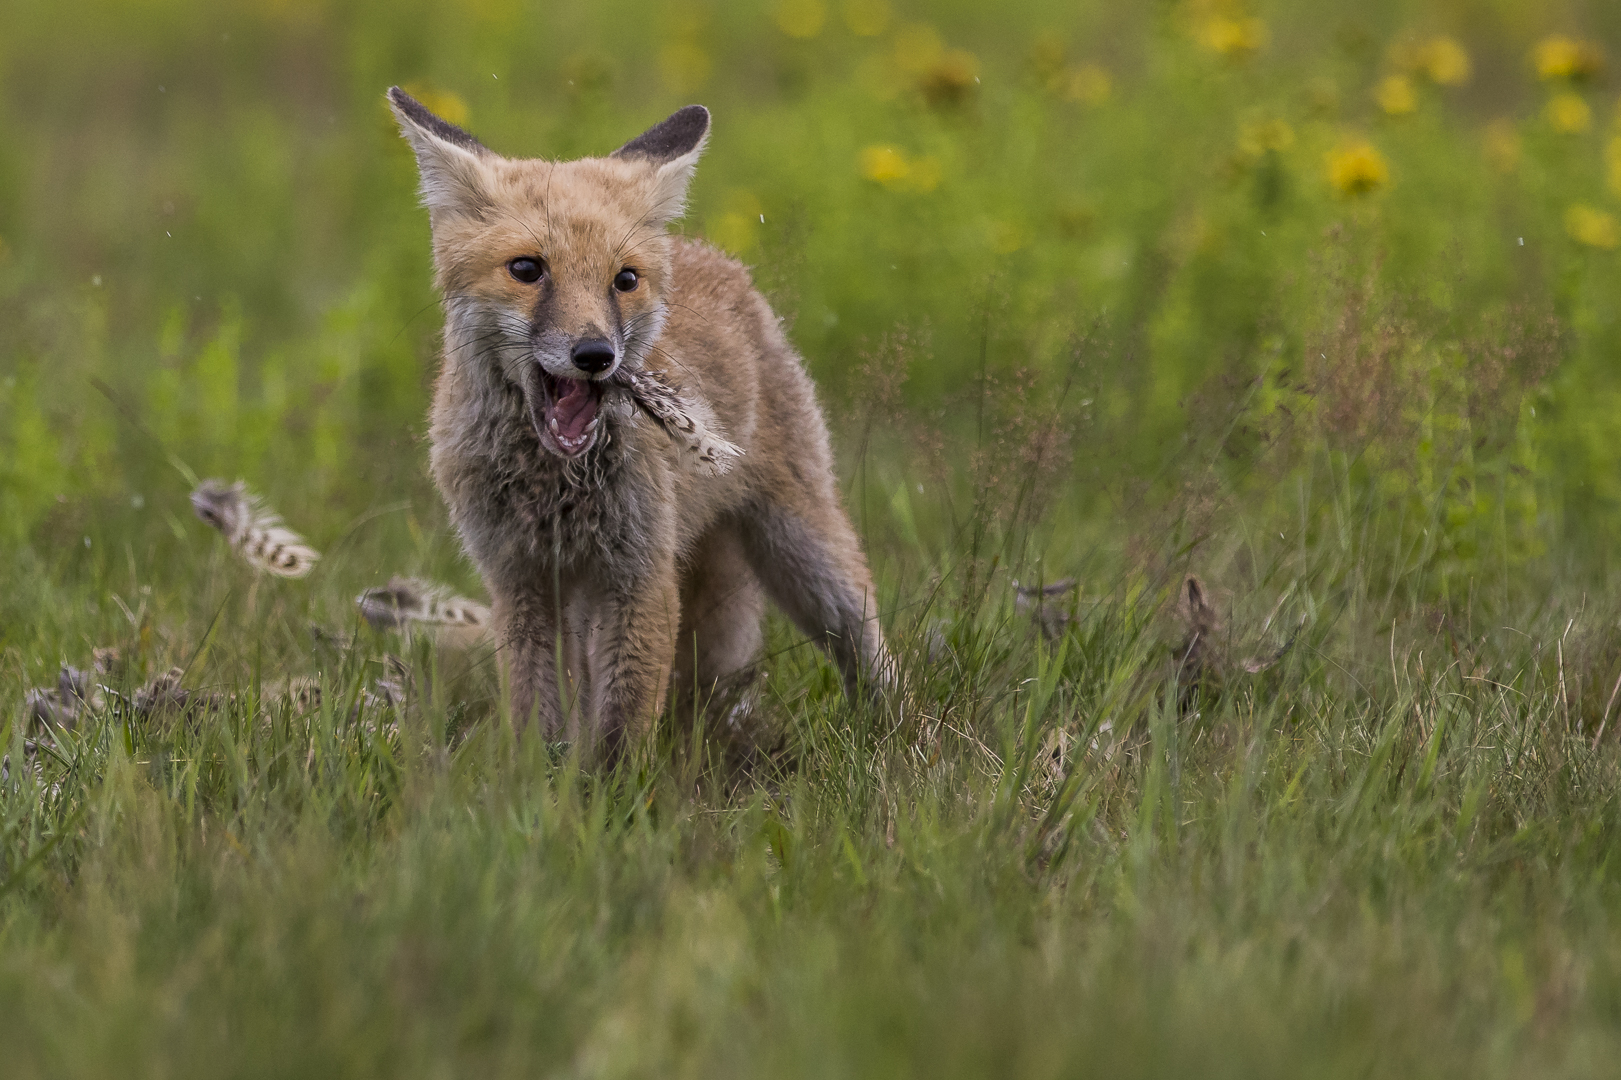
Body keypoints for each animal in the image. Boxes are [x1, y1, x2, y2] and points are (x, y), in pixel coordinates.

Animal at [389, 88, 901, 755]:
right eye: (527, 269)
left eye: (623, 280)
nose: (595, 355)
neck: (555, 489)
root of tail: (712, 256)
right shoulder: (520, 577)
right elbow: (538, 719)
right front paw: (541, 781)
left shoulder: (640, 573)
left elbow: (621, 732)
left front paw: (609, 788)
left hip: (803, 550)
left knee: (866, 645)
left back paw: (902, 735)